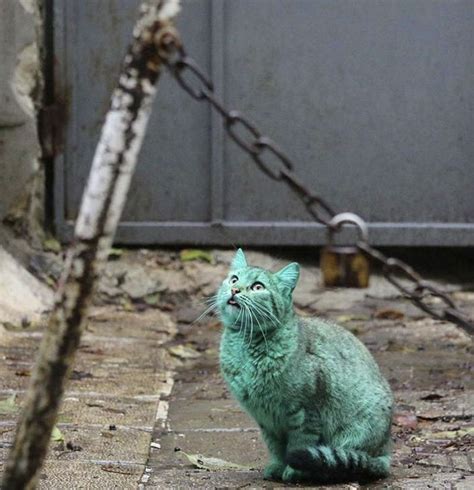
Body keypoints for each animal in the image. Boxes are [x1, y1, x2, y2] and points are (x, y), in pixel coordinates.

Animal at [218, 249, 392, 482]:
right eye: (234, 279)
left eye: (258, 287)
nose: (234, 290)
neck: (245, 344)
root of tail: (385, 453)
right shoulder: (266, 419)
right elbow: (275, 447)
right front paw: (277, 466)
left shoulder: (305, 412)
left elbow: (298, 444)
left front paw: (294, 471)